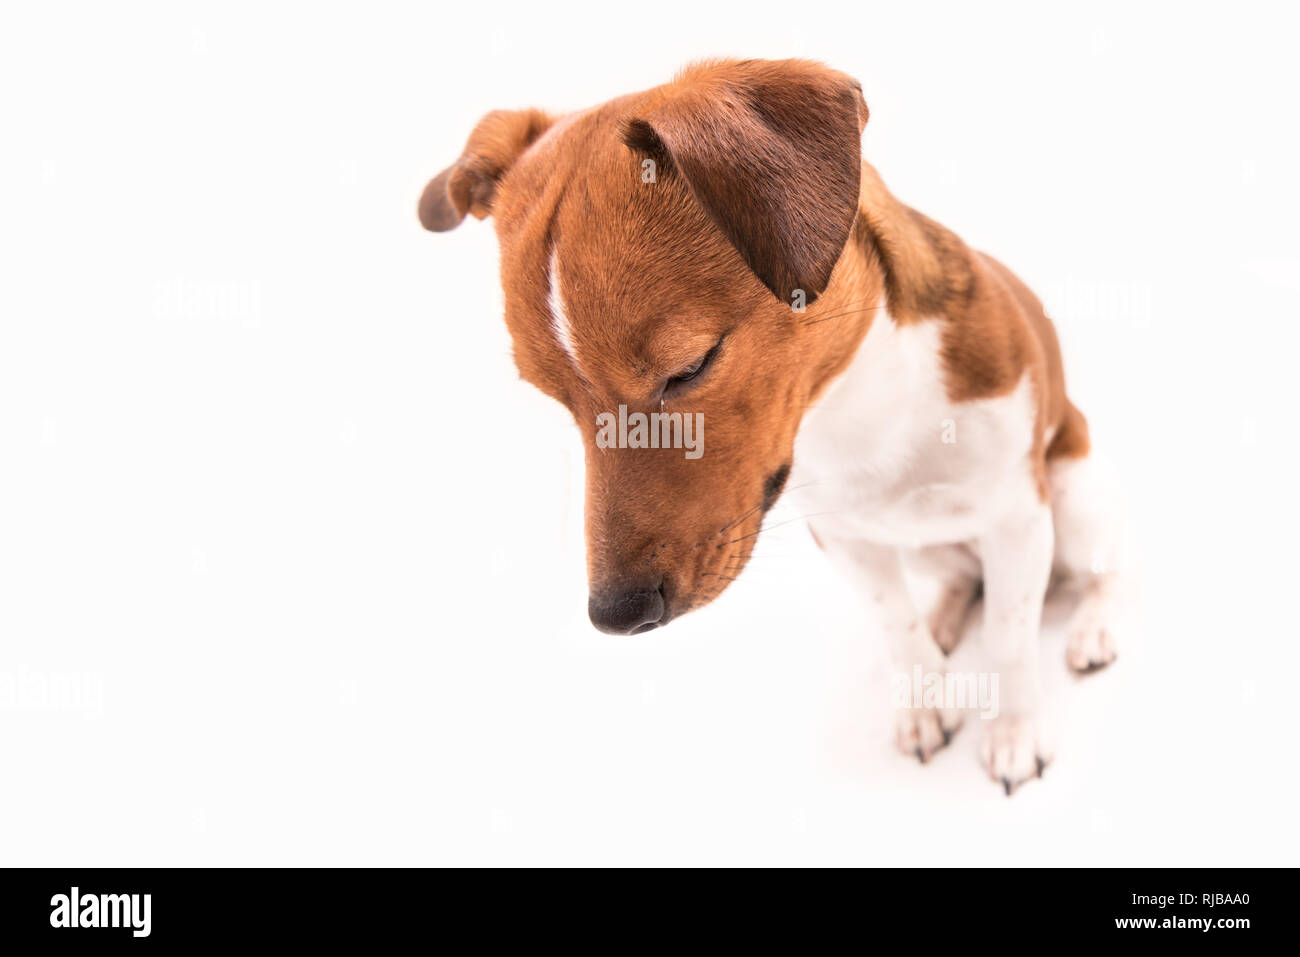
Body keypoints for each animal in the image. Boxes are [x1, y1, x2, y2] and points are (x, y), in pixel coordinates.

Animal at [421, 57, 1123, 790]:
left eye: (690, 367)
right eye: (553, 396)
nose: (616, 615)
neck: (857, 409)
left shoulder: (1017, 520)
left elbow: (1012, 638)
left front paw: (1015, 731)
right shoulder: (846, 538)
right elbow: (898, 629)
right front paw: (925, 700)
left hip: (1074, 496)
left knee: (1104, 572)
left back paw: (1093, 629)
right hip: (927, 548)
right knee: (962, 579)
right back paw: (947, 619)